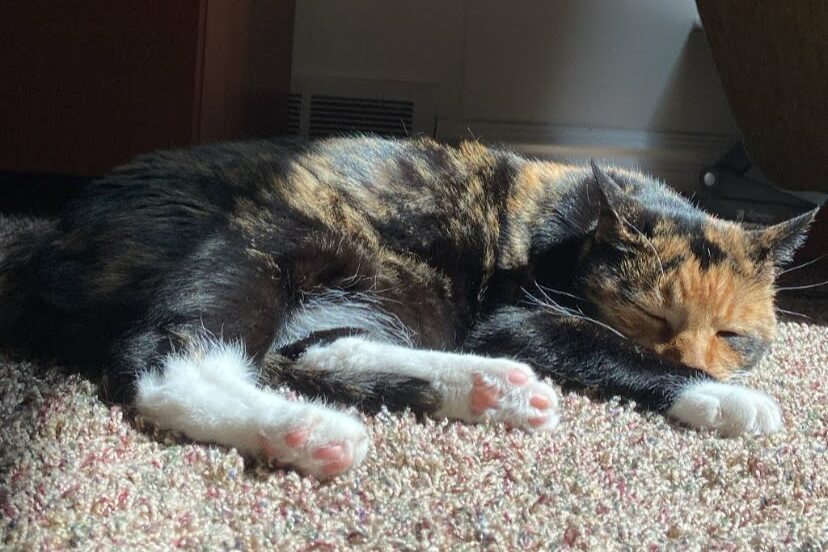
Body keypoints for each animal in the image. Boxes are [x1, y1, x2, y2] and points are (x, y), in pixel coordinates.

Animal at [0, 136, 816, 476]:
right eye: (654, 317)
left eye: (734, 332)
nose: (691, 356)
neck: (577, 228)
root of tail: (54, 236)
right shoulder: (518, 313)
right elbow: (601, 346)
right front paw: (726, 400)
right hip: (255, 242)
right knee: (163, 363)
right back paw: (308, 433)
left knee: (314, 349)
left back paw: (488, 389)